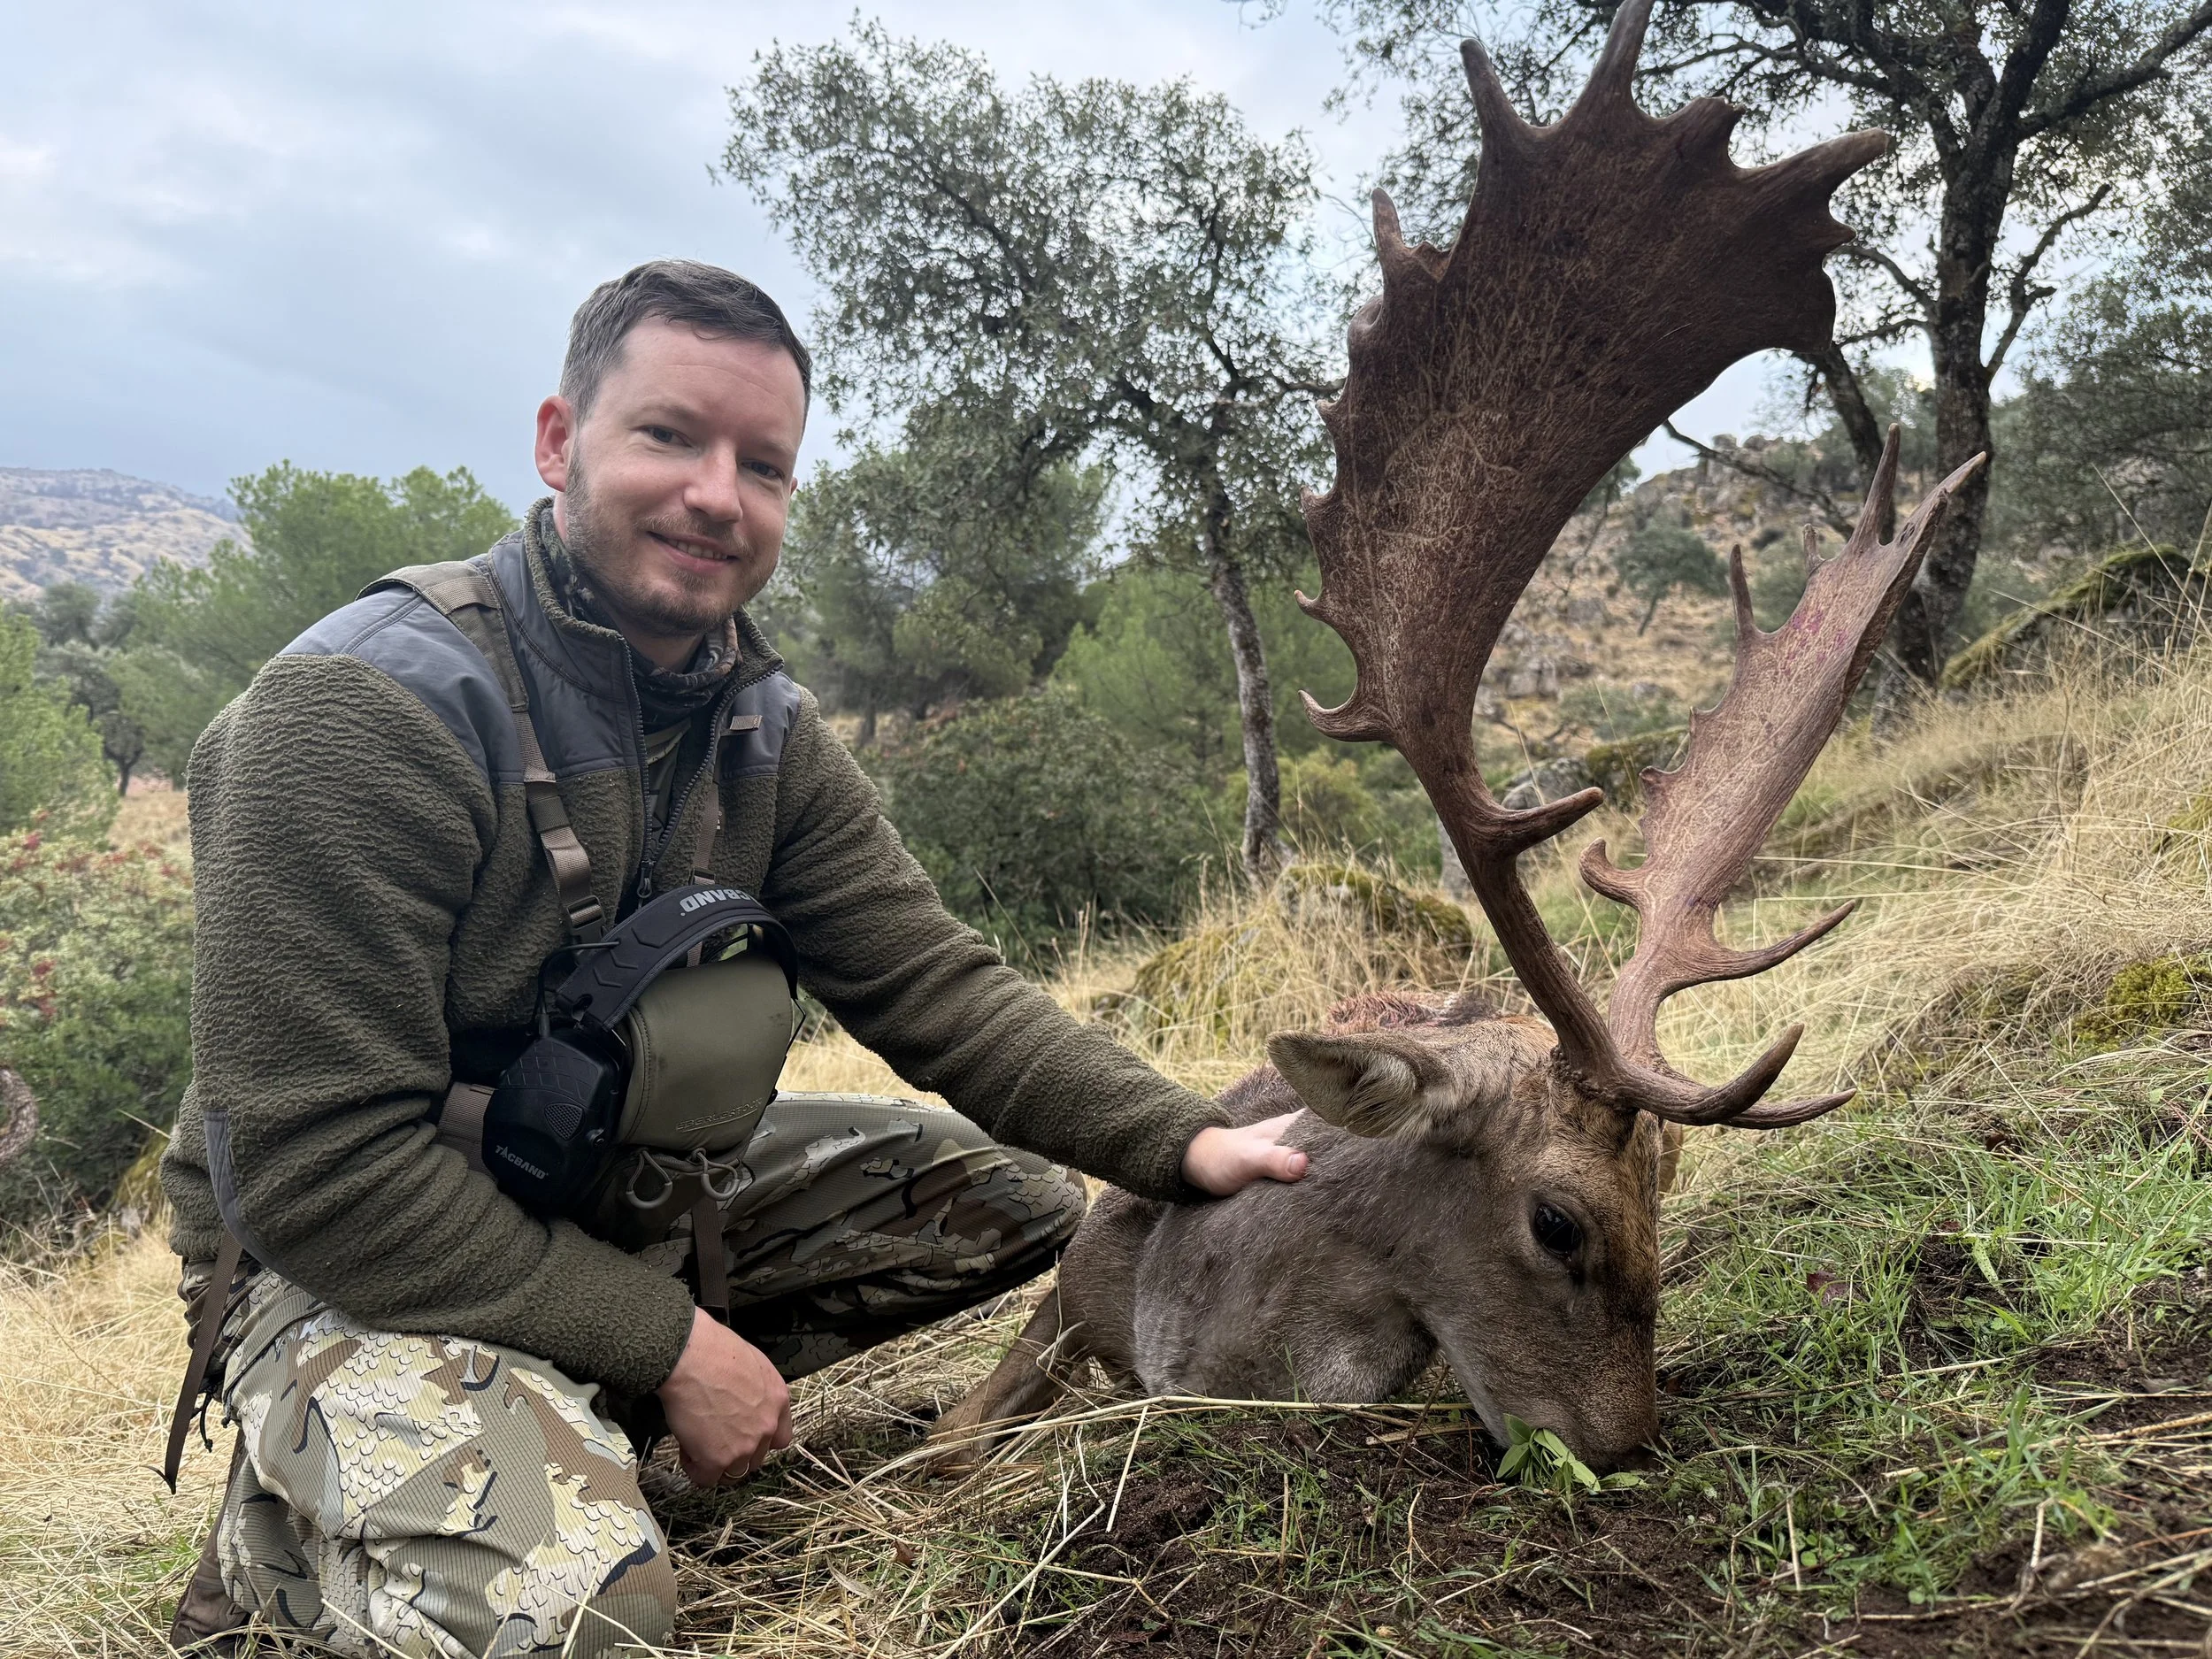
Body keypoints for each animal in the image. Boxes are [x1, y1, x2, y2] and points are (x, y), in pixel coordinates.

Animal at [929, 0, 1985, 1476]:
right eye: (1556, 1219)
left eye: (1670, 1179)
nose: (1622, 1441)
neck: (1197, 1332)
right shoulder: (1062, 1297)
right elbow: (971, 1408)